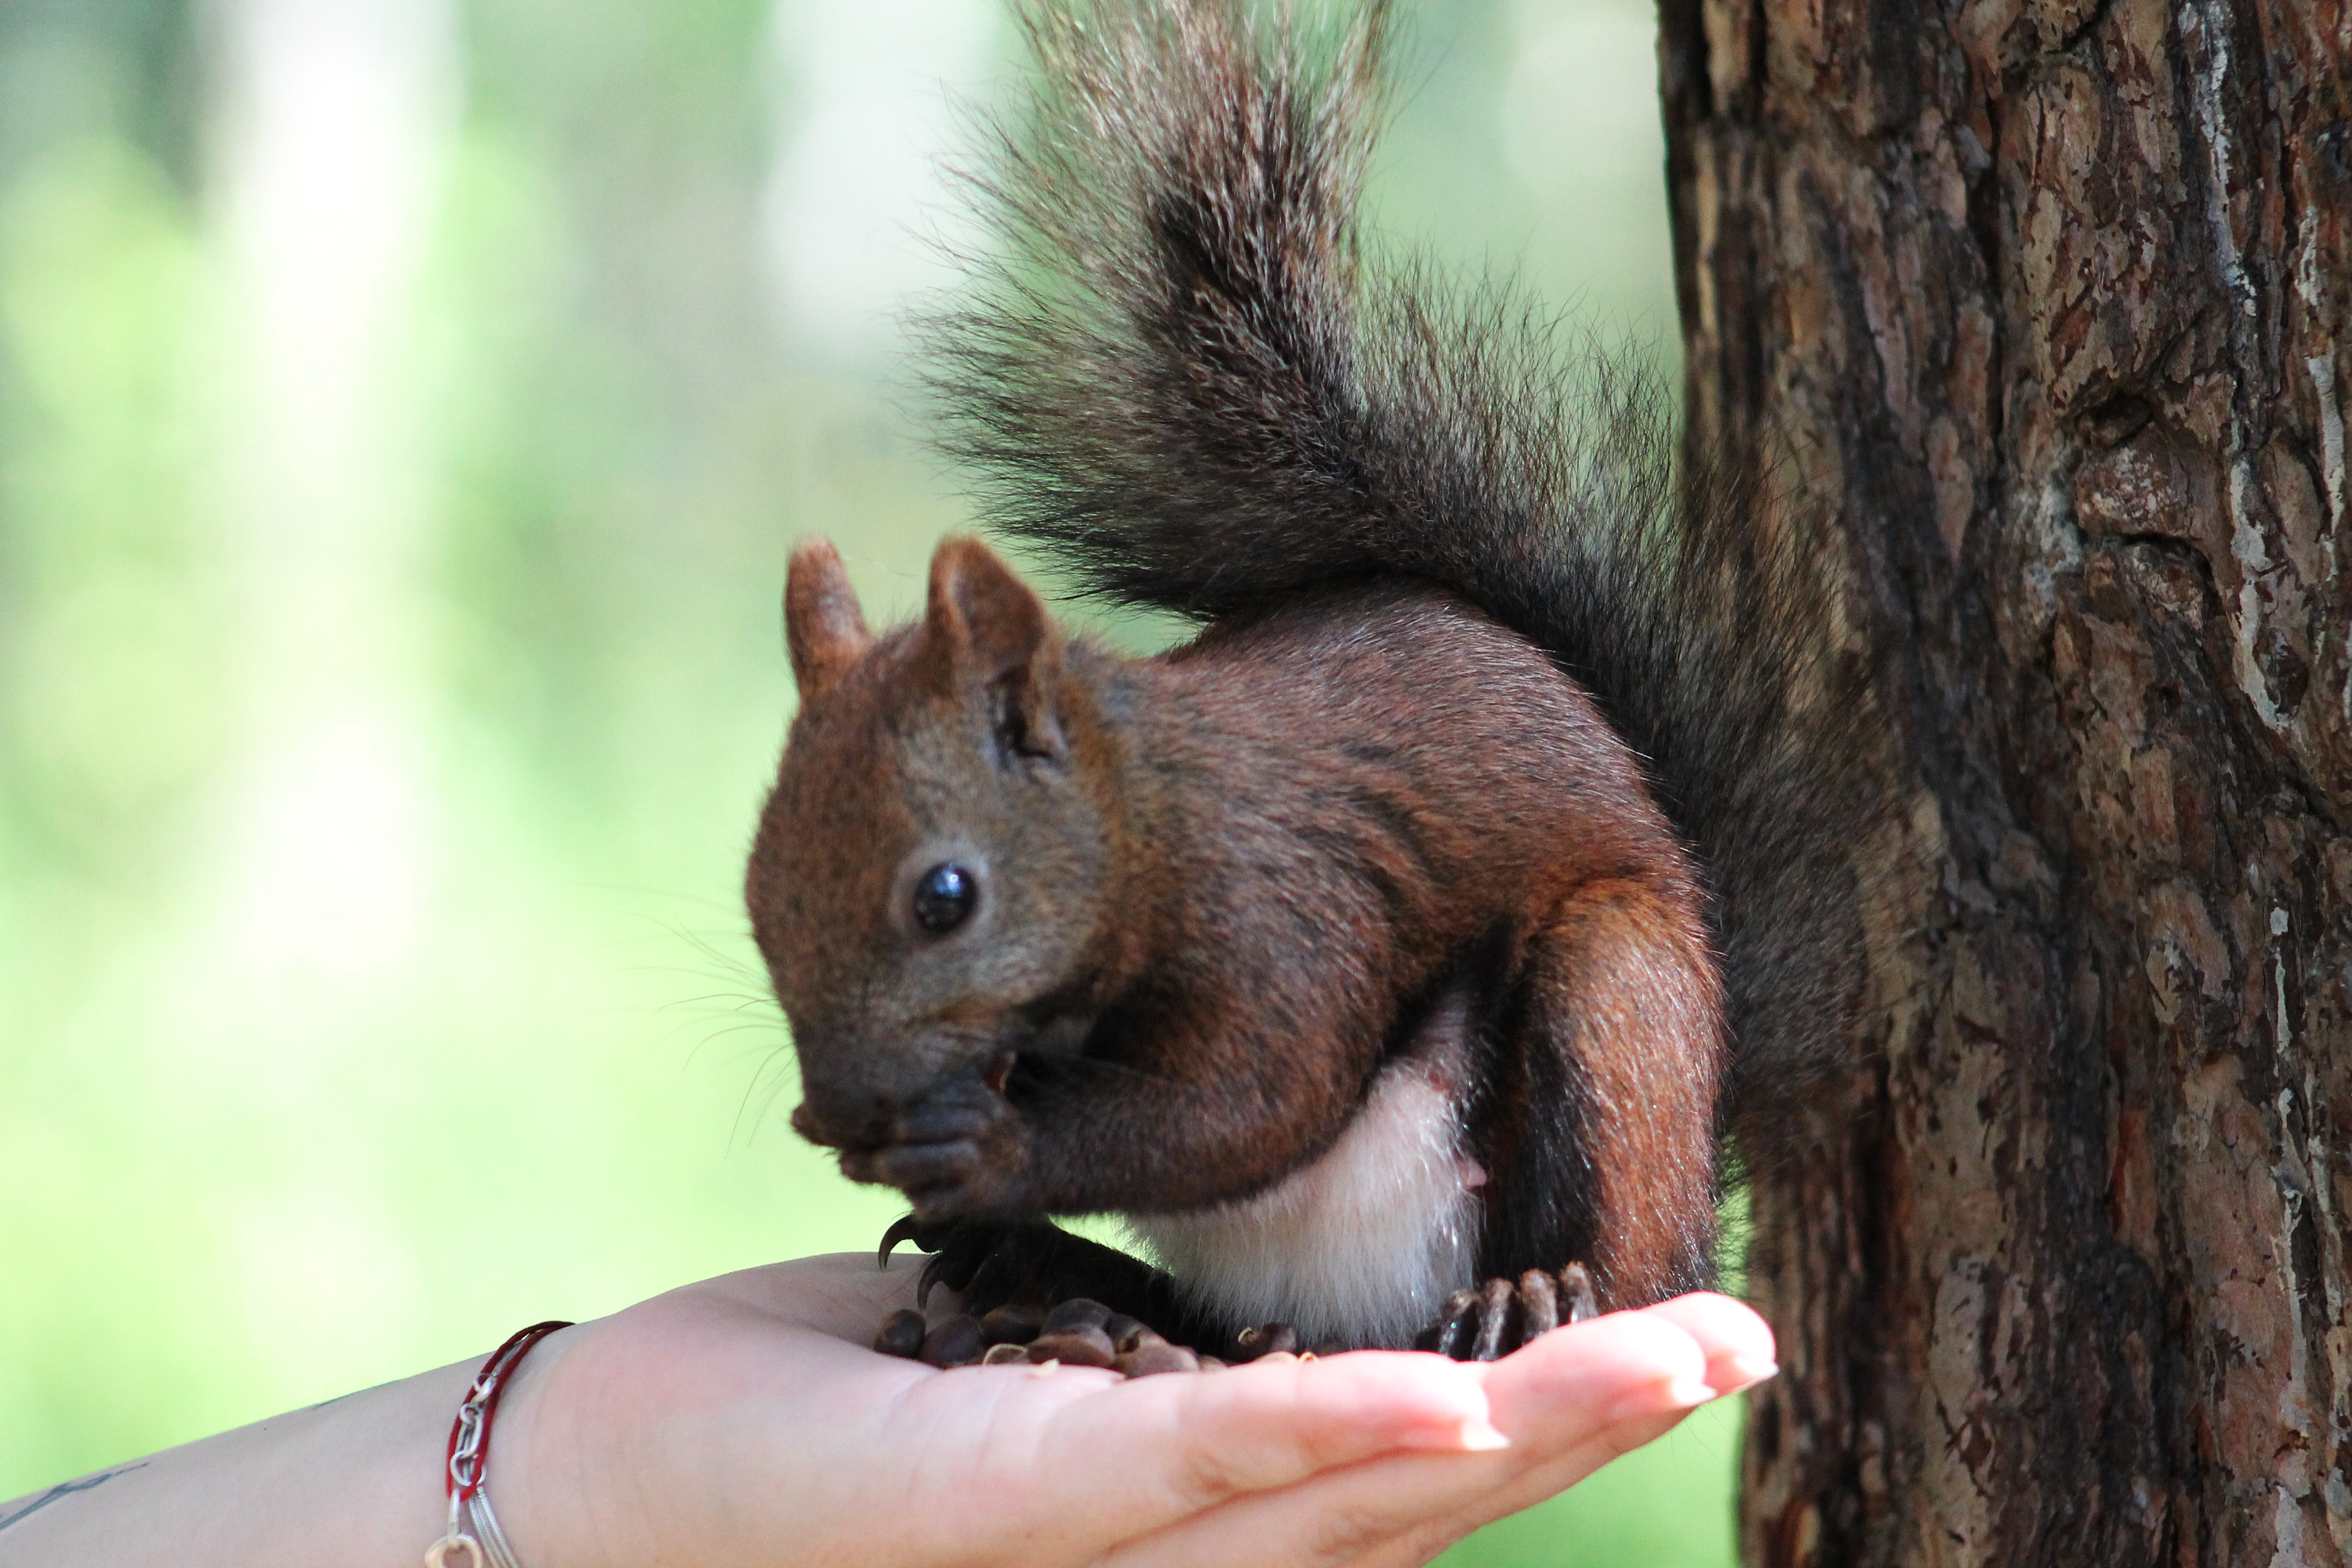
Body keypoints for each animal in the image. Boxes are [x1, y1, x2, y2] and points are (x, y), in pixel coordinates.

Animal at [743, 0, 1881, 1354]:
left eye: (945, 897)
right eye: (757, 894)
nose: (831, 1110)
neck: (1144, 818)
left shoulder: (1286, 912)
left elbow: (1256, 1097)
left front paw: (990, 1148)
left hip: (1622, 1001)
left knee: (1638, 1256)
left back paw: (1539, 1291)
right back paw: (1056, 1272)